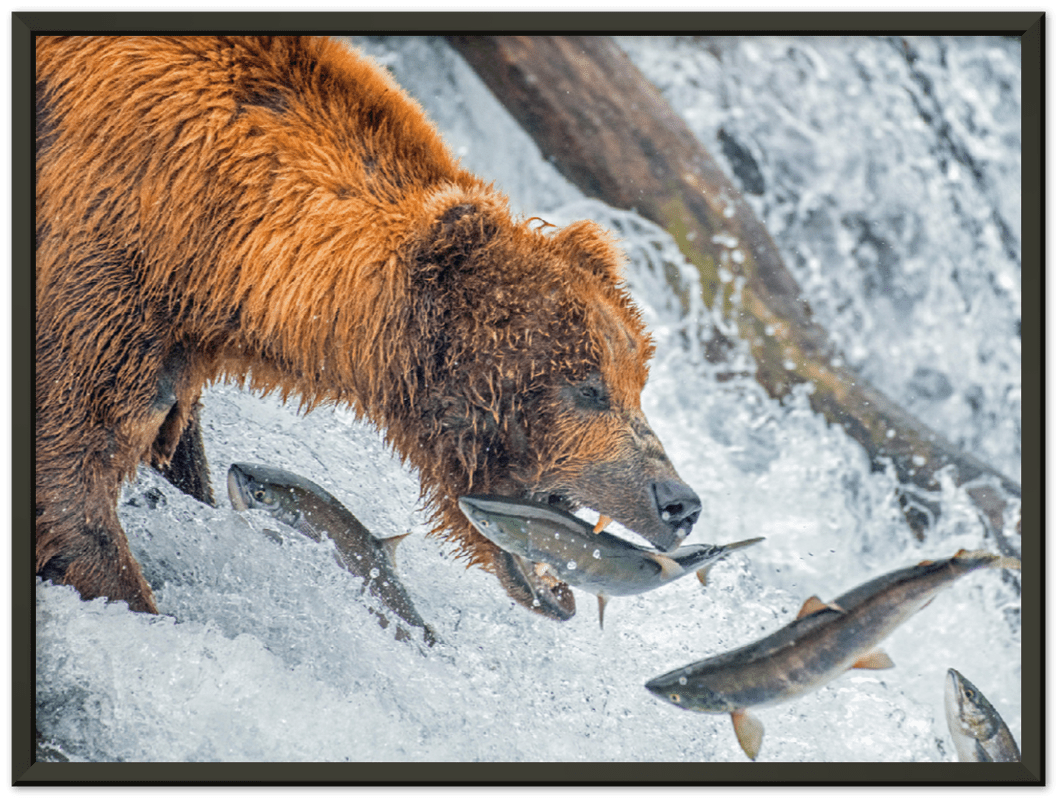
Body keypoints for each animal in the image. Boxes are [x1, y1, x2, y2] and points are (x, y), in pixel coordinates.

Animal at [35, 35, 701, 620]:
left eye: (636, 380)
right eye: (586, 387)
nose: (679, 502)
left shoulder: (174, 340)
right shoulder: (103, 267)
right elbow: (69, 476)